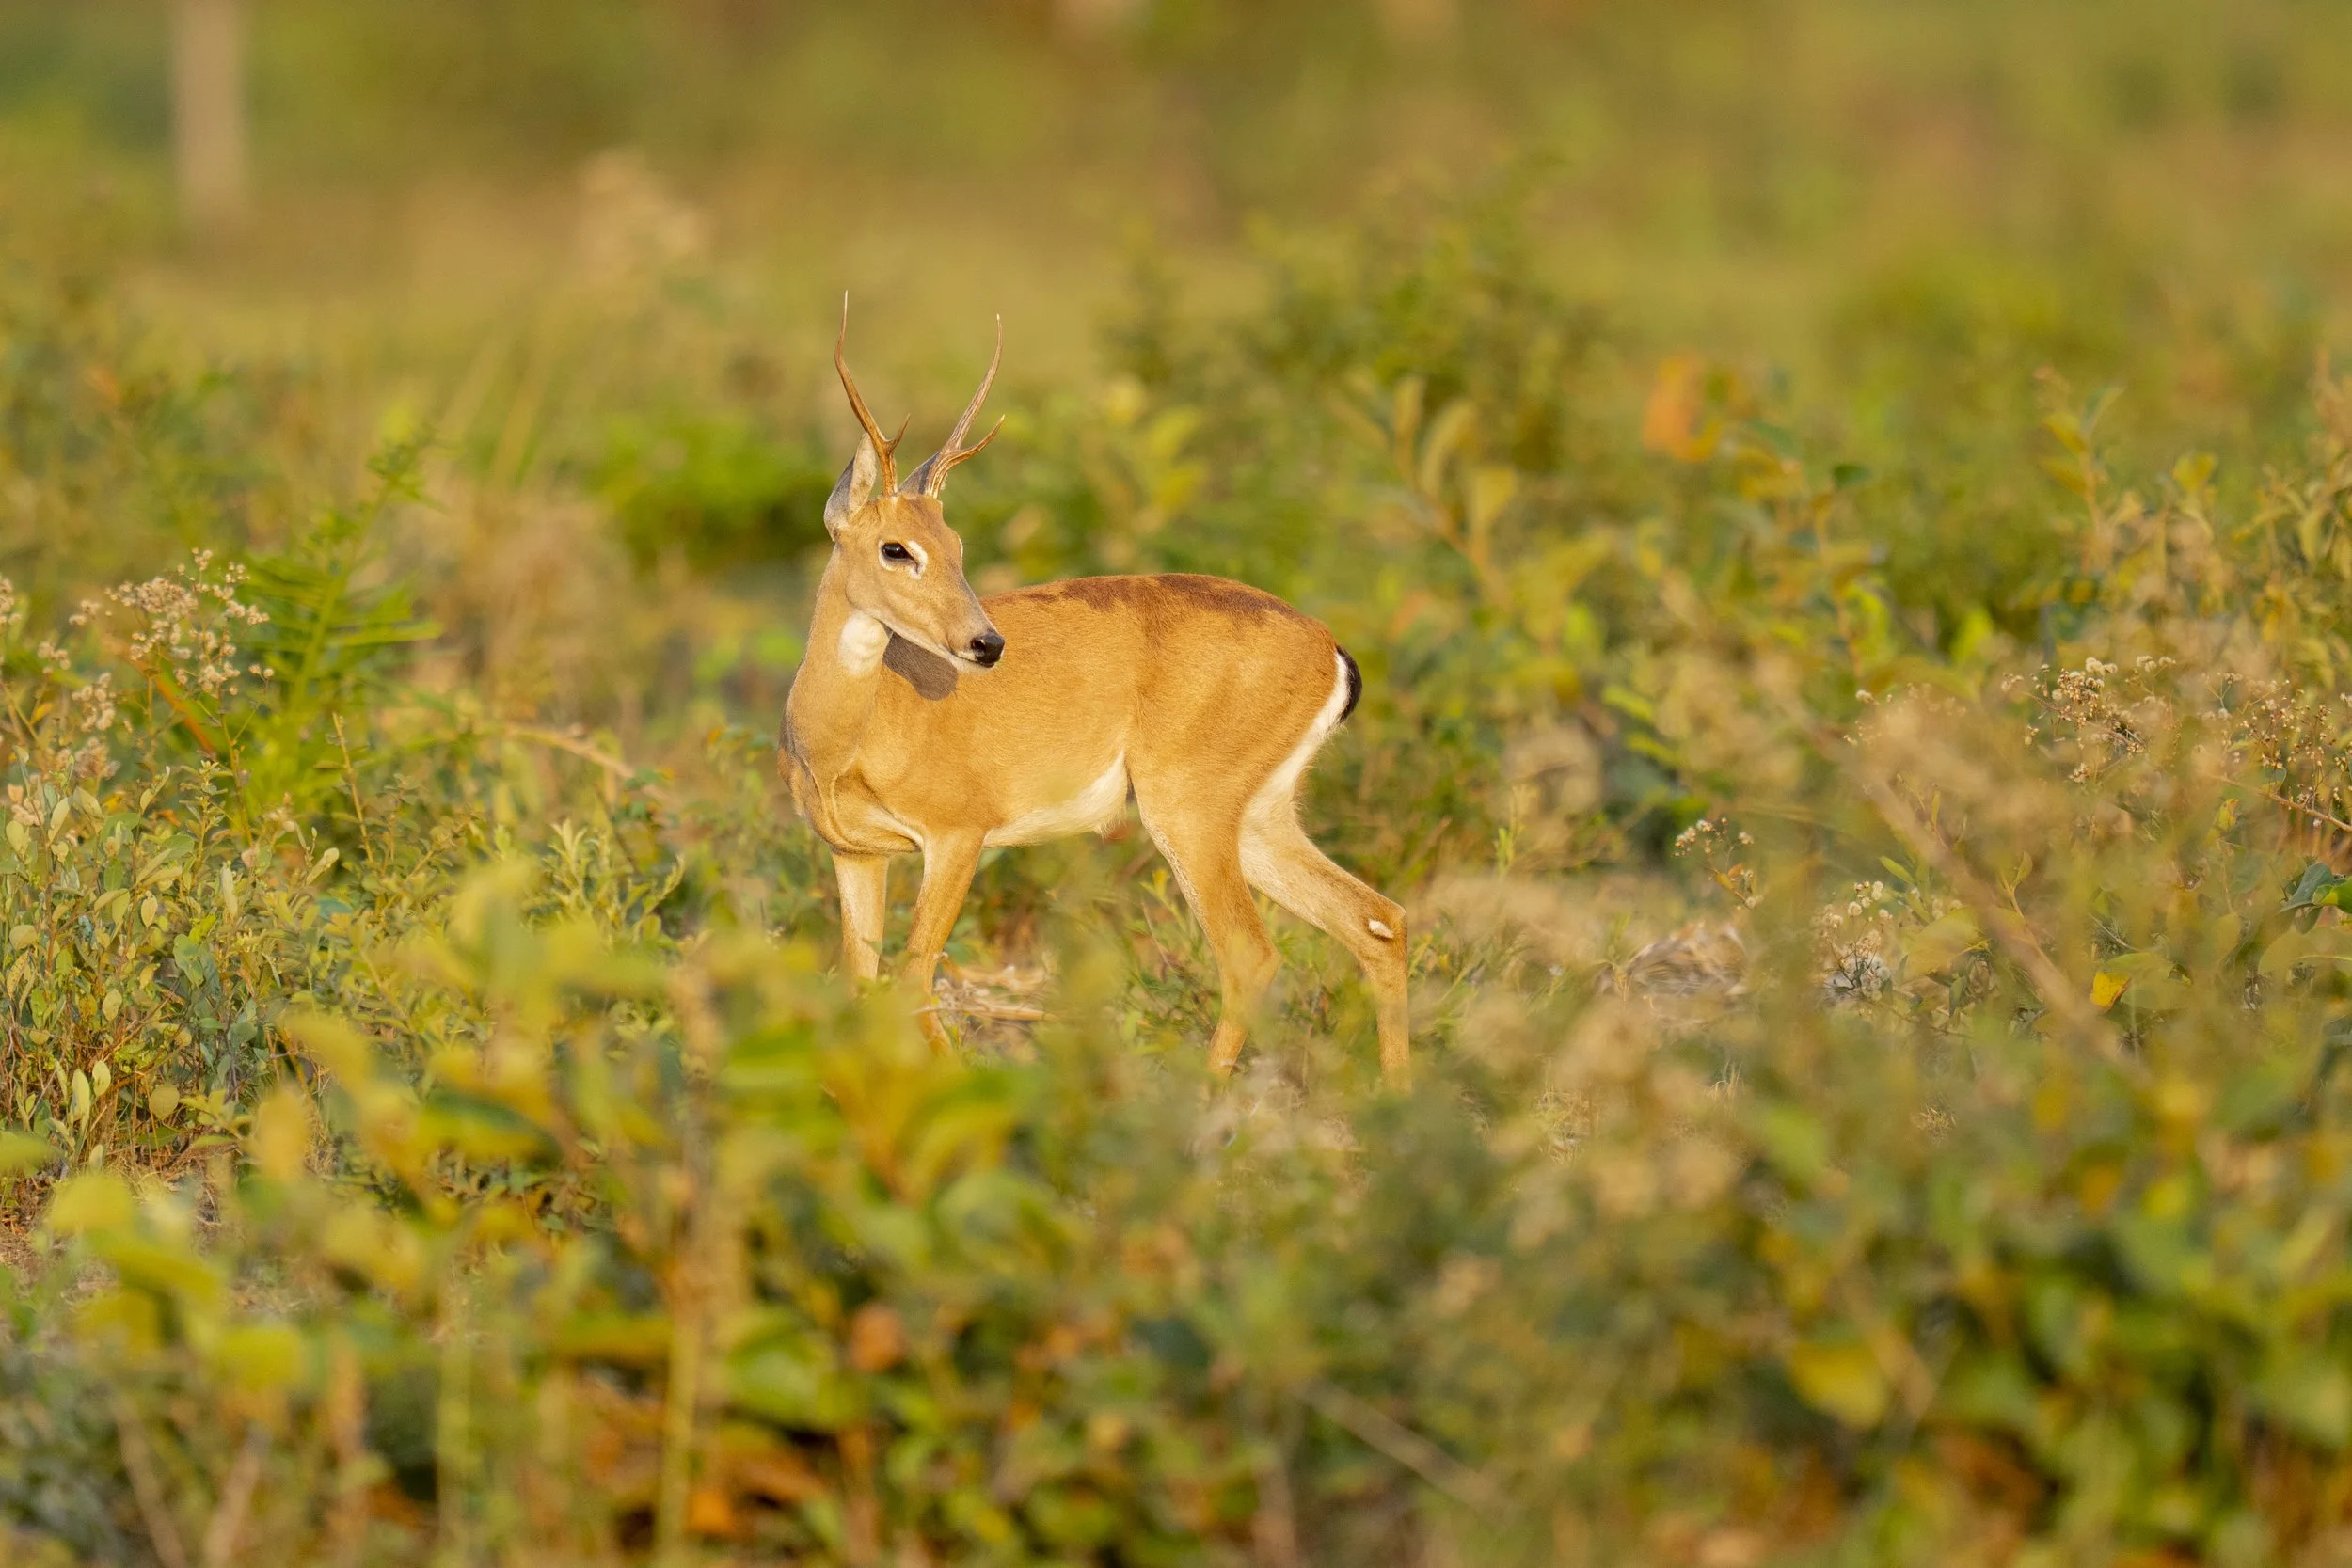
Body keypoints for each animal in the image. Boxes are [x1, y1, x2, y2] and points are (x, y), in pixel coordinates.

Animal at [778, 302, 1410, 1086]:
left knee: (1252, 955)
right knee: (1378, 921)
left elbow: (914, 975)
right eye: (897, 547)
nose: (985, 644)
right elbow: (862, 984)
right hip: (1262, 818)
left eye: (954, 546)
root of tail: (1328, 647)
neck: (841, 739)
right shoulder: (856, 855)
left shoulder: (957, 837)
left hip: (1188, 812)